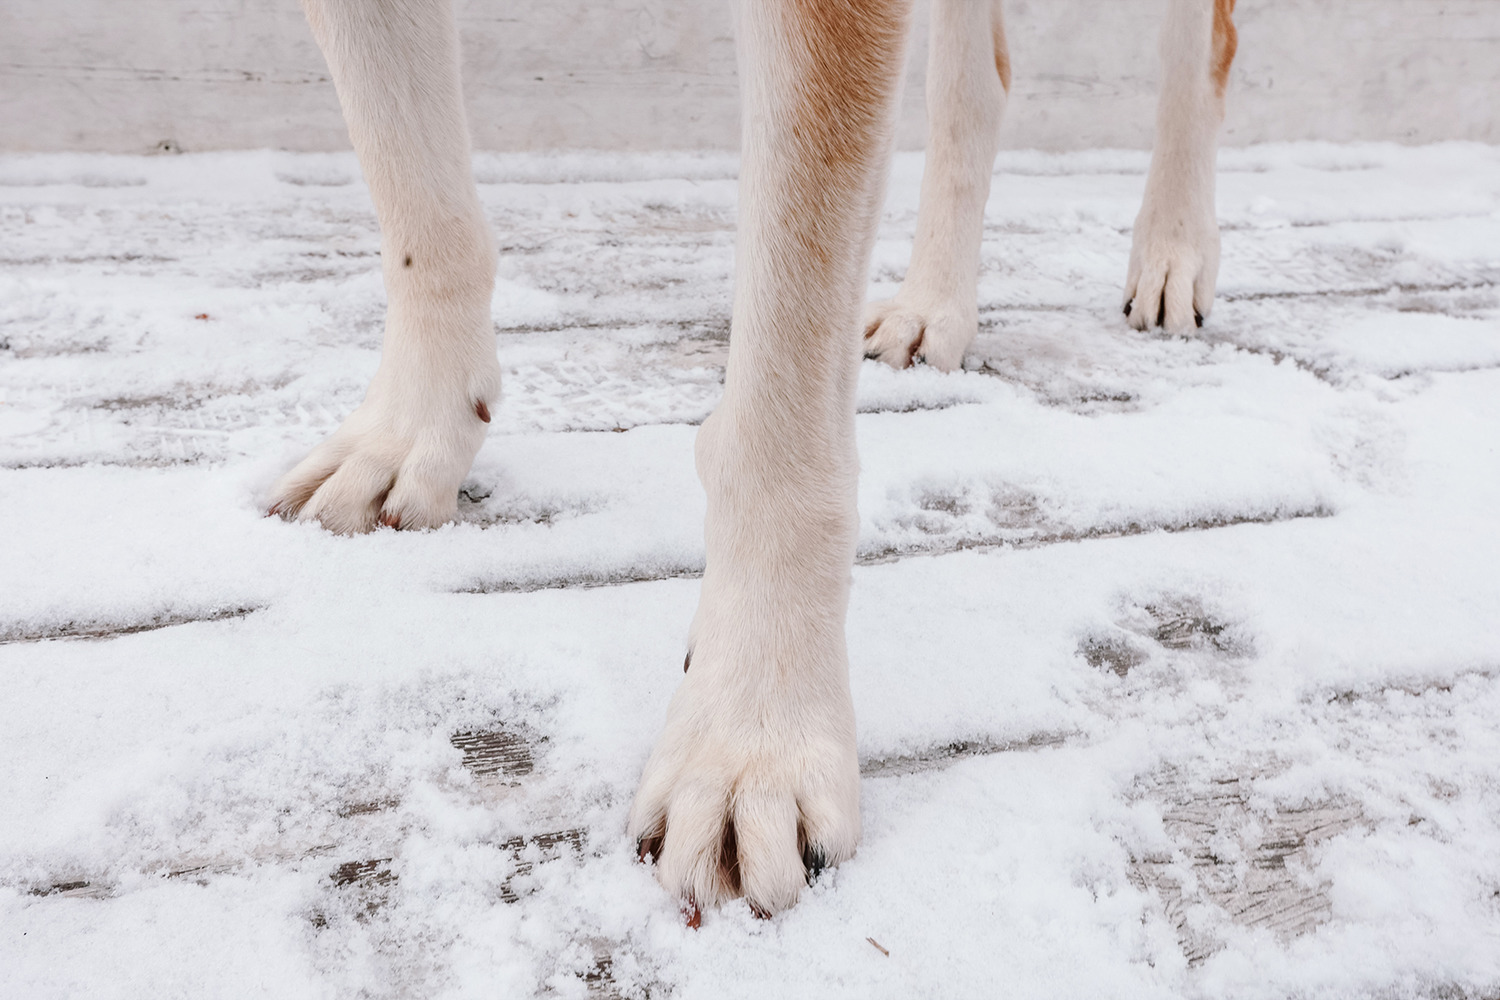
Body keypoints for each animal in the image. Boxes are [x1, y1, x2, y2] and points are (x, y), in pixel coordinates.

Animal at [270, 0, 1242, 917]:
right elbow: (414, 194)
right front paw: (409, 432)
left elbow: (777, 405)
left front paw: (750, 741)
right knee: (976, 84)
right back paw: (935, 305)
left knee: (1206, 46)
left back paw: (1172, 250)